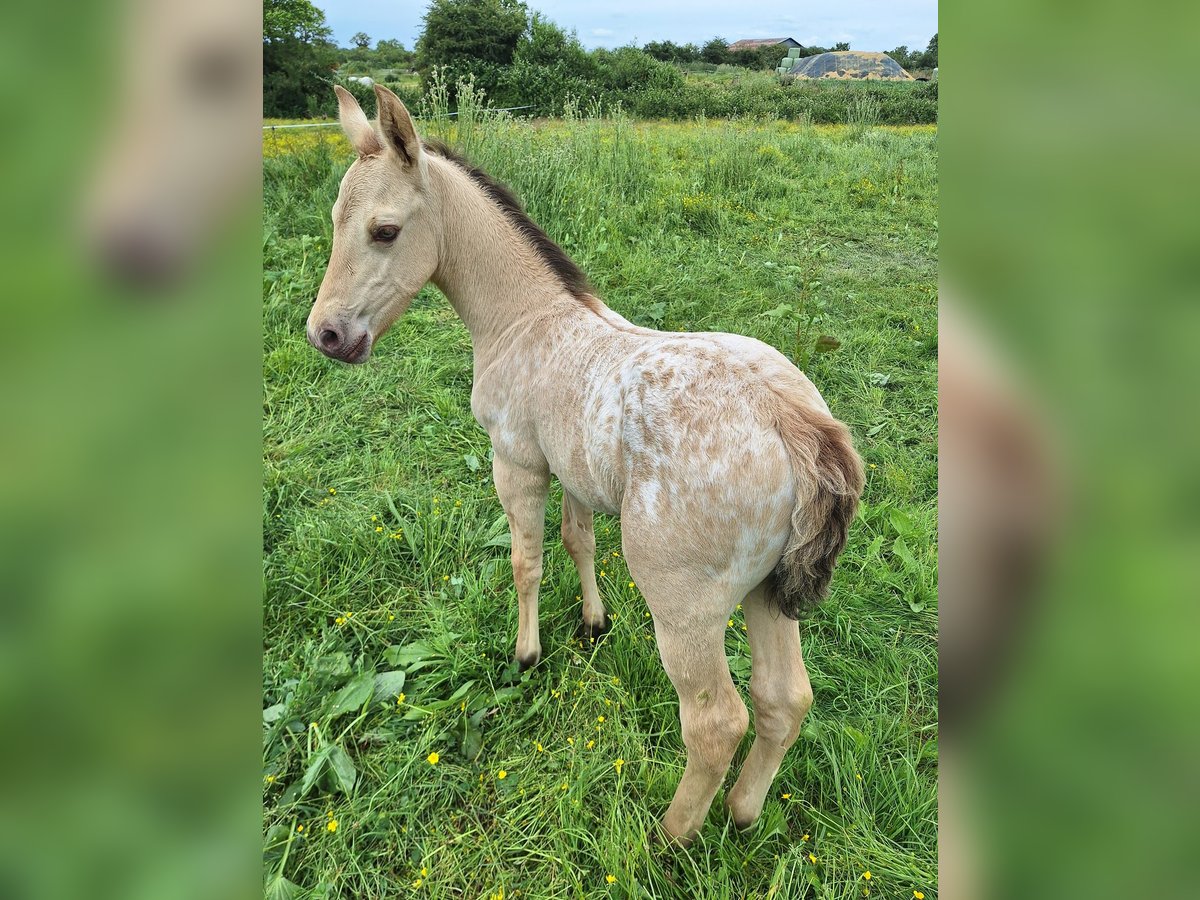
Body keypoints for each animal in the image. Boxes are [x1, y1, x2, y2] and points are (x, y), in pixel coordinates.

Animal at [307, 84, 864, 844]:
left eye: (385, 231)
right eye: (336, 220)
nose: (326, 335)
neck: (526, 318)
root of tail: (794, 423)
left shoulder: (515, 462)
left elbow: (528, 559)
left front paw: (526, 653)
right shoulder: (570, 467)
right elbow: (579, 541)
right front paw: (594, 624)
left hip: (684, 607)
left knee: (717, 721)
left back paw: (671, 836)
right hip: (768, 594)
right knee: (784, 699)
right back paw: (742, 813)